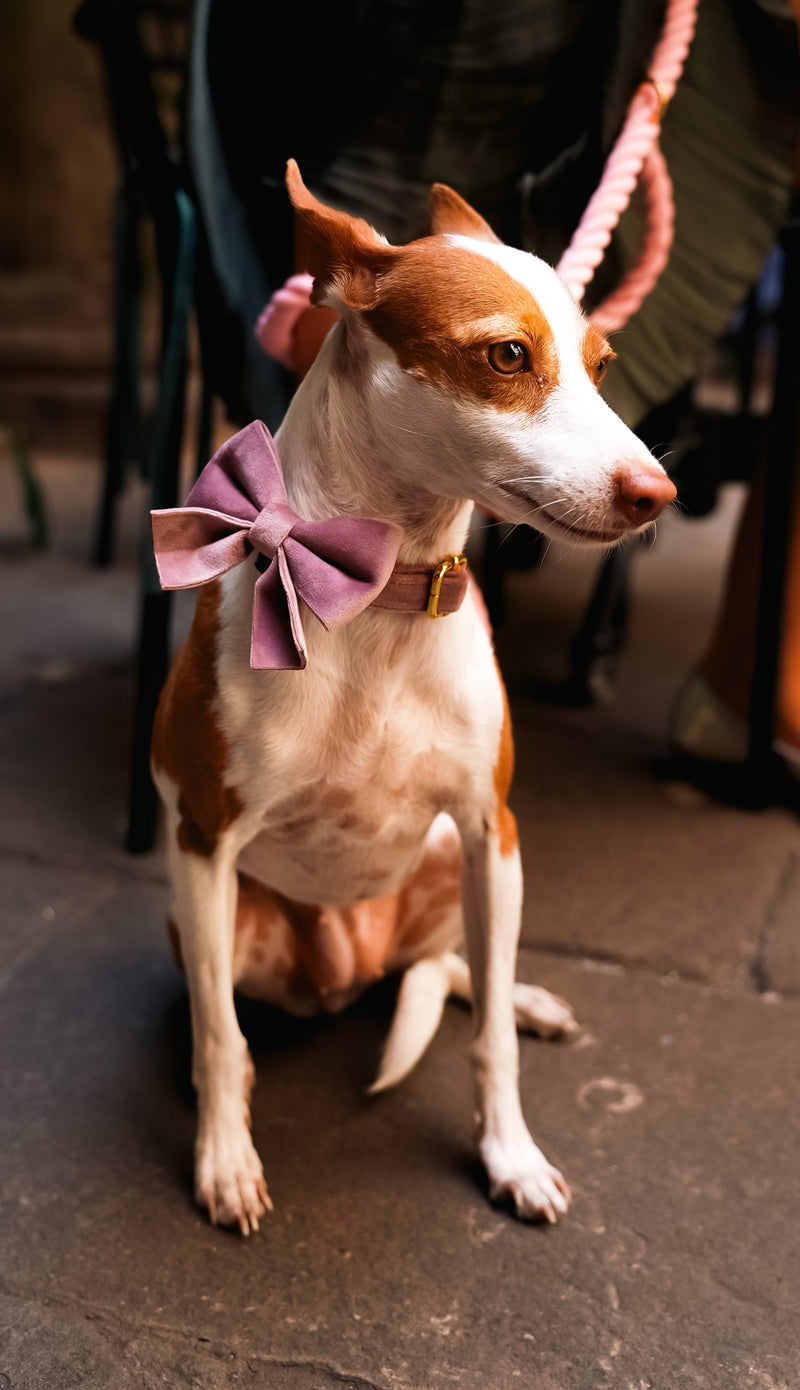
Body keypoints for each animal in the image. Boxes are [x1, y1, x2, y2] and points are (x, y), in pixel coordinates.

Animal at [150, 157, 675, 1234]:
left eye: (600, 366)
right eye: (507, 355)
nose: (659, 494)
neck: (379, 601)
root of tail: (355, 964)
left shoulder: (488, 829)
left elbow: (491, 1044)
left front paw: (510, 1153)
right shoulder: (204, 841)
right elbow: (223, 1038)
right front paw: (223, 1157)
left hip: (455, 867)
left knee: (465, 968)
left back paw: (523, 995)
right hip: (228, 922)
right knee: (232, 1011)